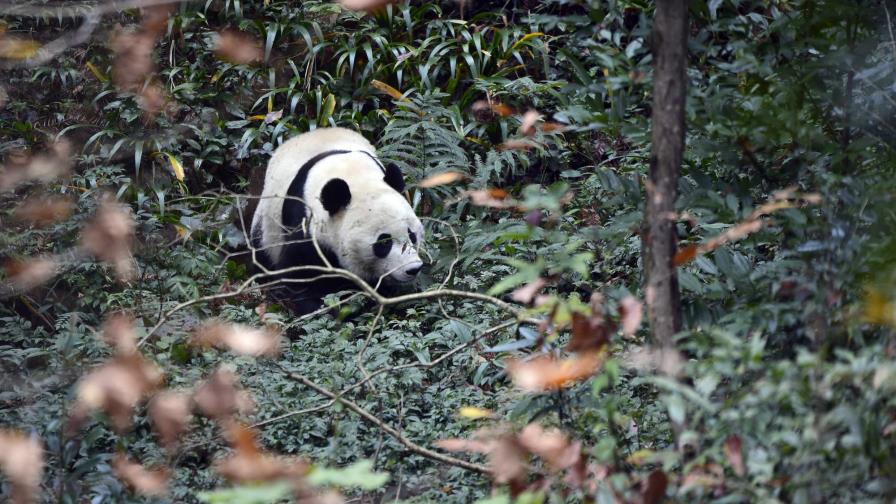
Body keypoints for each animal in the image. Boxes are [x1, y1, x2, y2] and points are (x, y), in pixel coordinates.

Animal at [250, 127, 424, 313]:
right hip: (266, 225)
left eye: (412, 235)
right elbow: (300, 275)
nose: (413, 269)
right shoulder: (304, 222)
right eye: (384, 242)